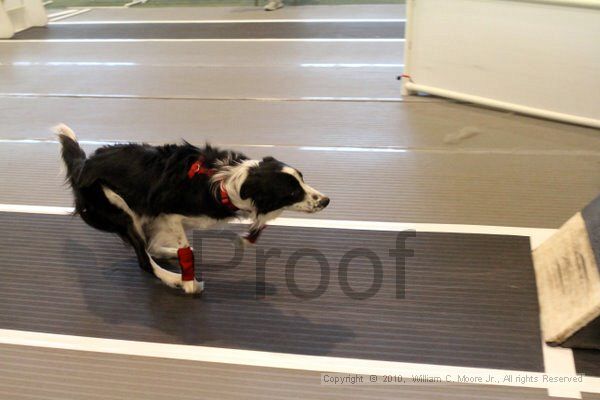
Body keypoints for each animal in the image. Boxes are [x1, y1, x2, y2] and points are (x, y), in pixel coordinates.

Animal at [56, 123, 330, 296]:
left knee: (148, 249)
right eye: (292, 193)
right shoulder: (168, 214)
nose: (326, 200)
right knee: (143, 259)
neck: (229, 182)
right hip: (120, 210)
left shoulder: (160, 218)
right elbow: (184, 249)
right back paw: (174, 279)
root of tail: (83, 164)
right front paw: (189, 282)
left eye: (302, 179)